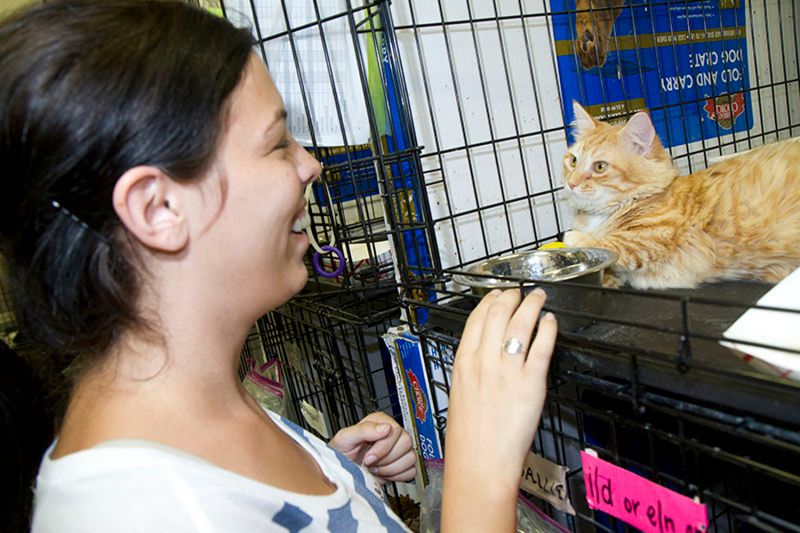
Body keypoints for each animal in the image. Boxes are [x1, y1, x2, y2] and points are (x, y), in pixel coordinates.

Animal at [564, 102, 800, 288]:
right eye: (573, 161)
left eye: (600, 167)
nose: (571, 182)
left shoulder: (651, 238)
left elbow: (614, 244)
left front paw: (576, 237)